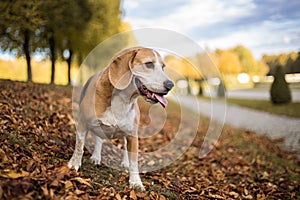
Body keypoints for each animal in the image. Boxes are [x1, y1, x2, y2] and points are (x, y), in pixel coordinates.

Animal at [68, 46, 175, 189]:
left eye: (163, 67)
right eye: (149, 64)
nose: (170, 85)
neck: (122, 99)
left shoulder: (132, 135)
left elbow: (134, 161)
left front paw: (135, 181)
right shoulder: (82, 124)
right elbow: (79, 146)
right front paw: (74, 164)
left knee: (124, 146)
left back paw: (125, 162)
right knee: (98, 140)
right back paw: (96, 156)